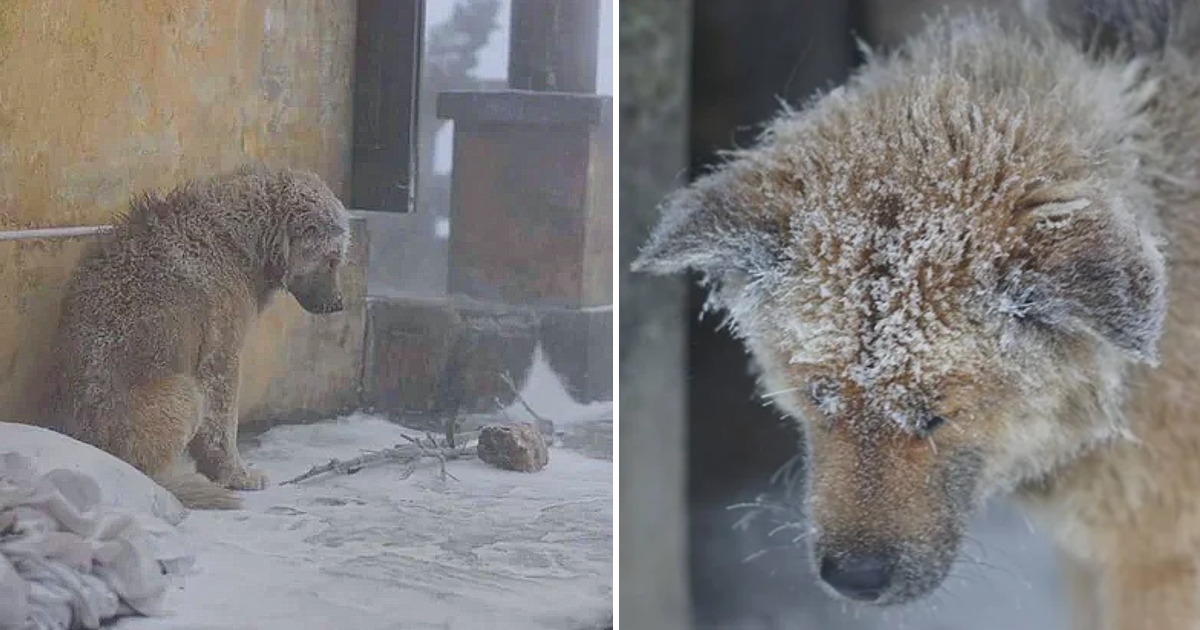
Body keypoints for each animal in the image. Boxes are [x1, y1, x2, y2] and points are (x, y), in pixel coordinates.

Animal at [34, 164, 350, 508]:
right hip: (184, 391)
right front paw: (237, 476)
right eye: (332, 259)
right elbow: (222, 426)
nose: (339, 304)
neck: (238, 238)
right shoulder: (220, 358)